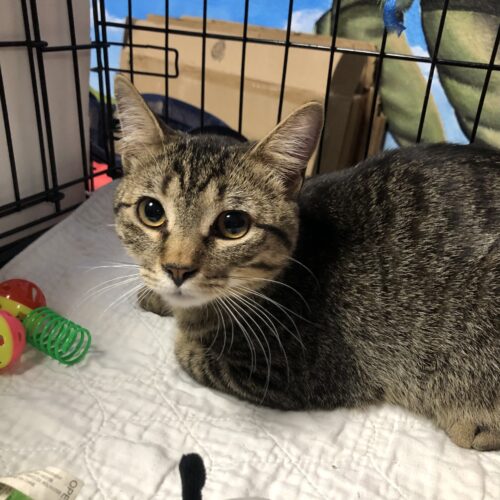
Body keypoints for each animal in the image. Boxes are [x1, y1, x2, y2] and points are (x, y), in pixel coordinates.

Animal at [113, 74, 499, 451]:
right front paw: (156, 296)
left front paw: (184, 330)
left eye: (233, 224)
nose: (177, 269)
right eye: (151, 211)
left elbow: (188, 351)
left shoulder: (296, 374)